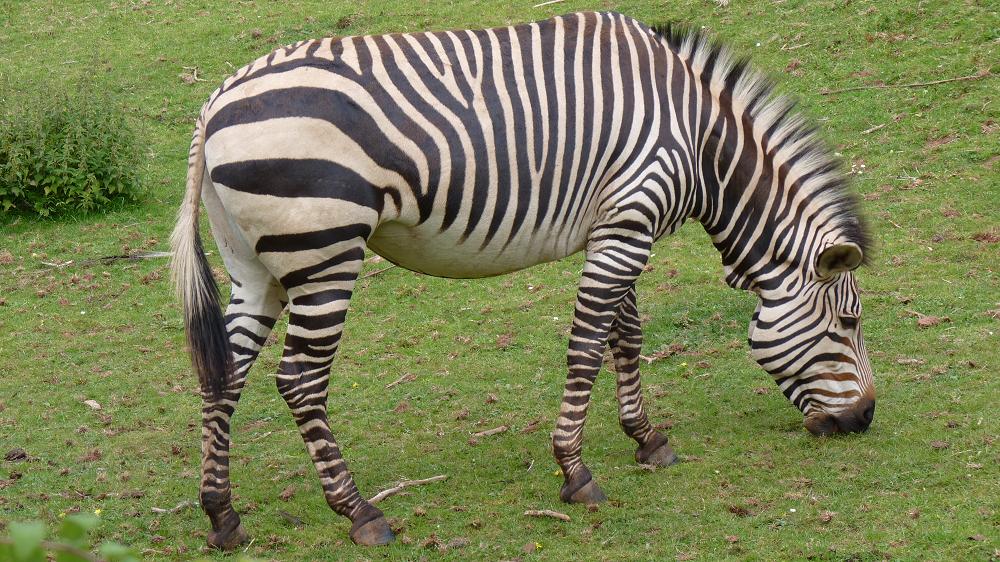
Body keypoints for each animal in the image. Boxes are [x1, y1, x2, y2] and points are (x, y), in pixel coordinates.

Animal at [170, 11, 874, 549]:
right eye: (848, 322)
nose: (864, 421)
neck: (700, 142)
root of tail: (213, 105)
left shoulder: (620, 222)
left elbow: (626, 335)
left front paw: (647, 439)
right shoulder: (630, 219)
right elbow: (588, 346)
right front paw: (576, 472)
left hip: (253, 263)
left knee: (223, 374)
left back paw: (223, 517)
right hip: (323, 249)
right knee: (300, 381)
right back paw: (361, 513)